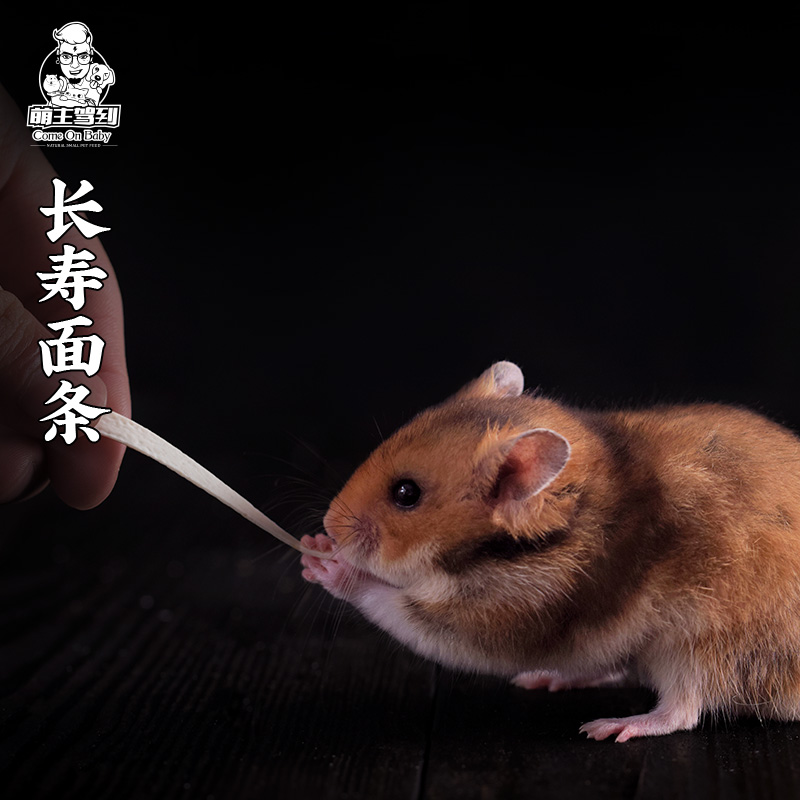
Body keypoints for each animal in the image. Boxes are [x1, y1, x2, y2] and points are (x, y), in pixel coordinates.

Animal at [301, 362, 800, 741]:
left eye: (406, 493)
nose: (327, 525)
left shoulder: (512, 612)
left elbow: (400, 608)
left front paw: (326, 564)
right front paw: (314, 548)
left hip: (703, 646)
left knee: (683, 709)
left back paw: (610, 727)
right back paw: (544, 680)